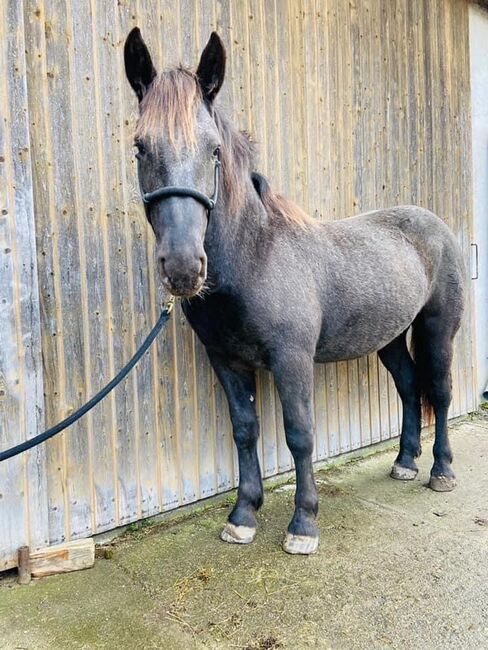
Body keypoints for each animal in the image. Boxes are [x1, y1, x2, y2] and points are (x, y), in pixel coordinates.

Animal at [123, 29, 466, 552]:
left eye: (213, 150)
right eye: (141, 147)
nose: (182, 268)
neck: (255, 258)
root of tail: (433, 223)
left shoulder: (293, 359)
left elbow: (300, 433)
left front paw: (303, 524)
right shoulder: (226, 362)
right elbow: (245, 431)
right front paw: (243, 515)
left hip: (437, 329)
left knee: (441, 393)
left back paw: (441, 471)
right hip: (388, 337)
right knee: (409, 387)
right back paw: (405, 463)